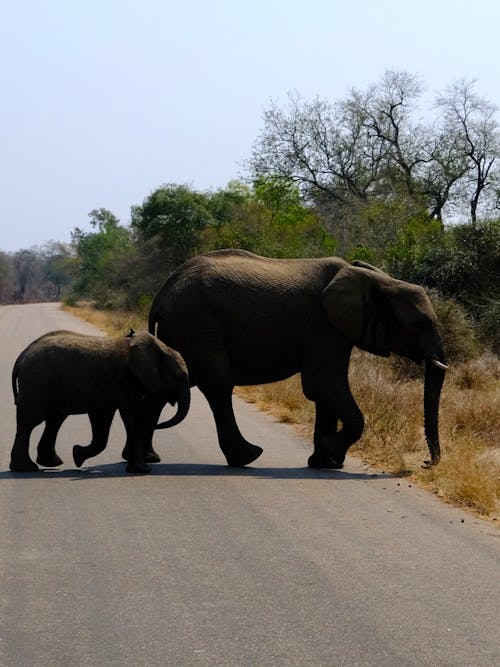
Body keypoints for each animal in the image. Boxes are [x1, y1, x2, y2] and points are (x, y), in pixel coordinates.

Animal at [10, 328, 189, 474]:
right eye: (180, 377)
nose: (159, 425)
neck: (161, 348)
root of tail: (20, 358)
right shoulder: (124, 381)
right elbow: (132, 418)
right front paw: (142, 471)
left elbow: (102, 419)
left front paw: (77, 455)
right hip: (36, 384)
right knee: (29, 423)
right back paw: (26, 469)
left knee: (54, 420)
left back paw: (51, 463)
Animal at [149, 250, 450, 470]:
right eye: (419, 323)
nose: (426, 463)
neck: (375, 278)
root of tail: (162, 294)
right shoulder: (322, 326)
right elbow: (323, 383)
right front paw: (331, 452)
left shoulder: (333, 329)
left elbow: (324, 392)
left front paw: (325, 463)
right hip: (197, 325)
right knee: (219, 385)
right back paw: (248, 457)